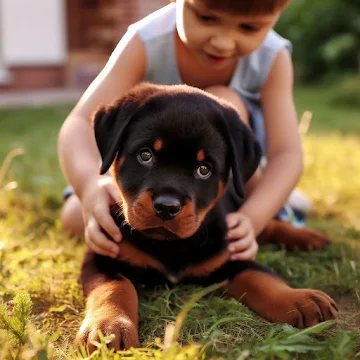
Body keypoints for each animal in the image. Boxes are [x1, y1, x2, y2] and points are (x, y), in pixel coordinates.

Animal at [76, 83, 338, 350]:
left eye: (204, 169)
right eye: (145, 155)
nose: (167, 207)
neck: (170, 247)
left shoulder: (228, 258)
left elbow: (261, 276)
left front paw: (299, 298)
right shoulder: (104, 256)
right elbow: (115, 287)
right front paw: (108, 327)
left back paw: (309, 237)